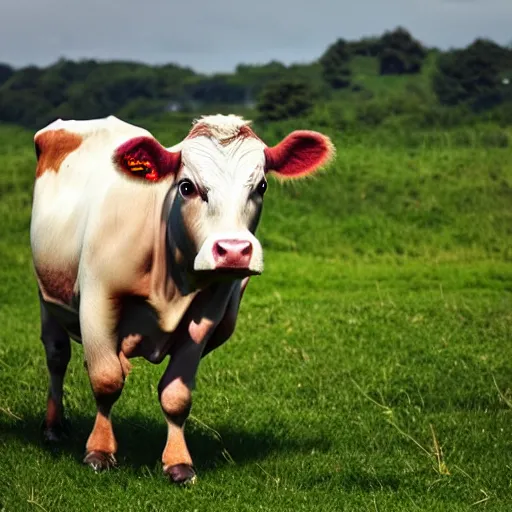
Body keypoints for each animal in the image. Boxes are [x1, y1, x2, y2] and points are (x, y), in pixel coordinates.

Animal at [31, 114, 336, 486]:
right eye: (187, 187)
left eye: (261, 186)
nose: (233, 250)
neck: (170, 280)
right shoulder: (98, 299)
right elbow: (106, 379)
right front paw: (99, 450)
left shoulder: (207, 317)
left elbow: (175, 395)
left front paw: (178, 462)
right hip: (48, 296)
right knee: (57, 355)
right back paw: (53, 426)